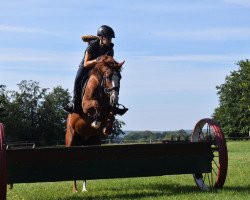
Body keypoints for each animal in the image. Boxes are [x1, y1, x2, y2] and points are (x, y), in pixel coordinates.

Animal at [65, 55, 124, 192]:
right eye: (108, 76)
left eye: (120, 77)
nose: (115, 99)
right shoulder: (86, 106)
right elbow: (96, 105)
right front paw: (96, 122)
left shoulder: (109, 108)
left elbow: (111, 113)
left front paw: (107, 128)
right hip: (71, 140)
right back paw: (75, 190)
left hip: (93, 143)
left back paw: (84, 188)